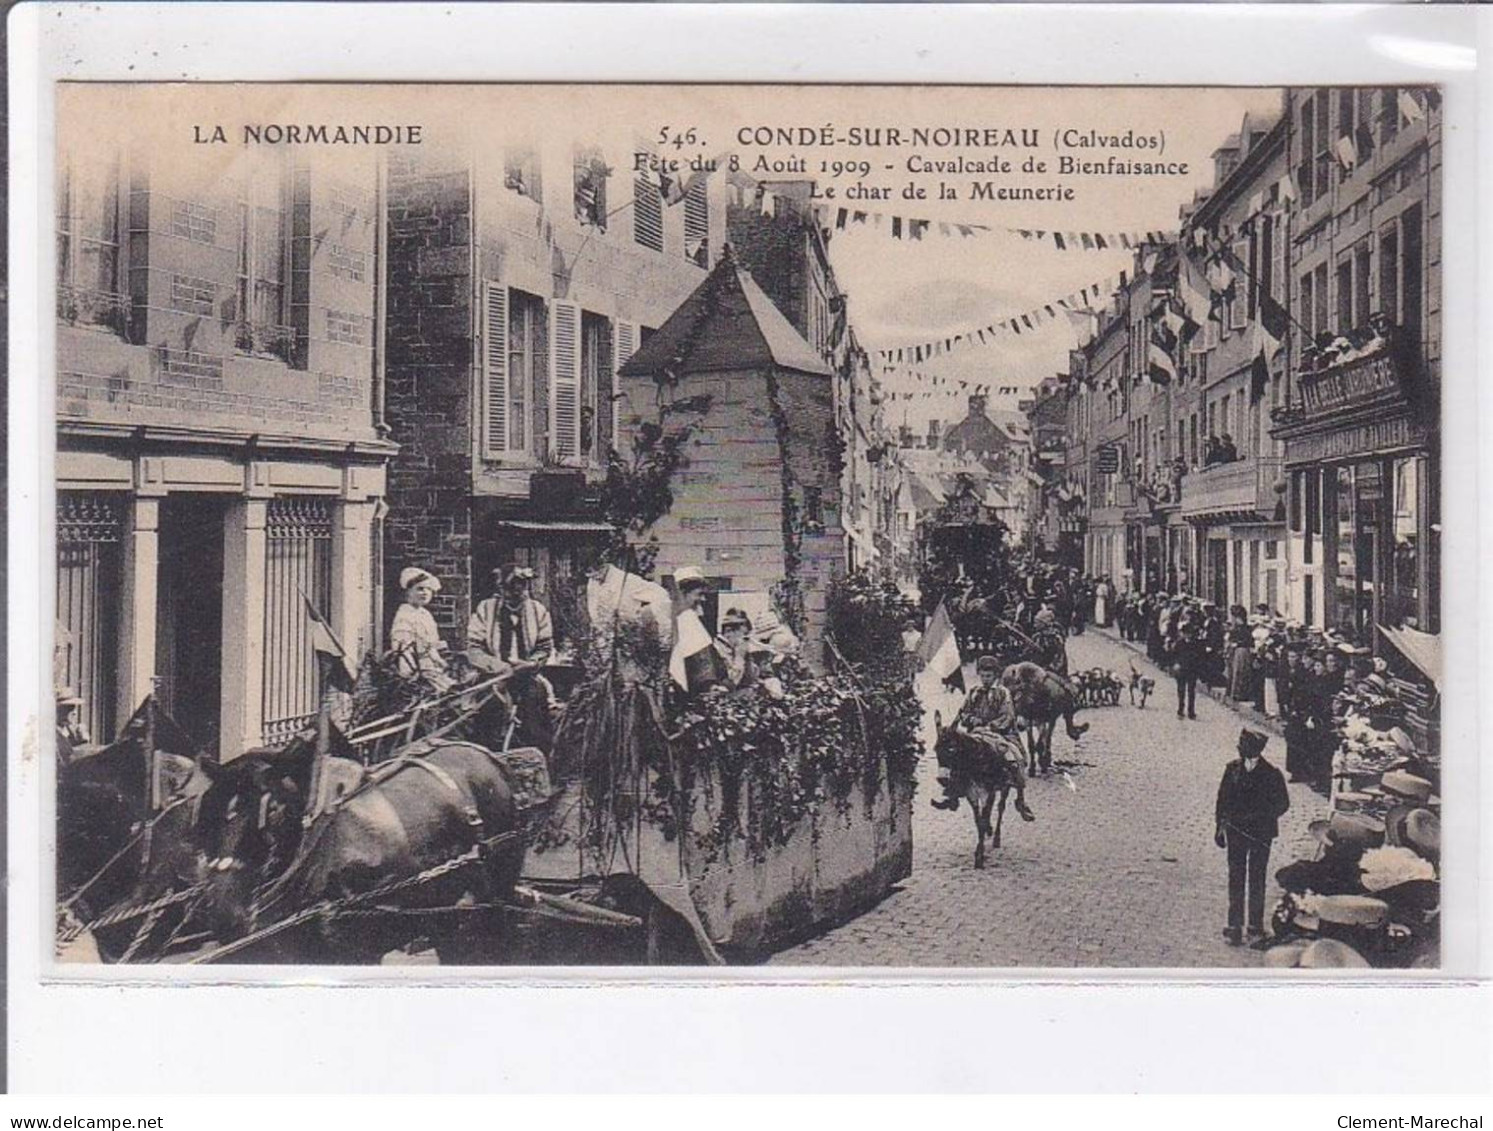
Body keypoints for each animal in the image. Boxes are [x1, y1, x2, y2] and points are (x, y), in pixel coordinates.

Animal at [195, 734, 528, 966]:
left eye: (273, 810)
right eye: (206, 815)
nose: (226, 915)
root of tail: (490, 757)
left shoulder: (359, 947)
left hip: (496, 896)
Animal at [931, 713, 1027, 871]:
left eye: (951, 749)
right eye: (936, 749)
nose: (942, 779)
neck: (976, 761)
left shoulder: (987, 792)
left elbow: (983, 819)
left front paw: (979, 857)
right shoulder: (972, 794)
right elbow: (978, 821)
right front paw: (979, 850)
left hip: (1007, 784)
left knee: (1001, 807)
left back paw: (998, 837)